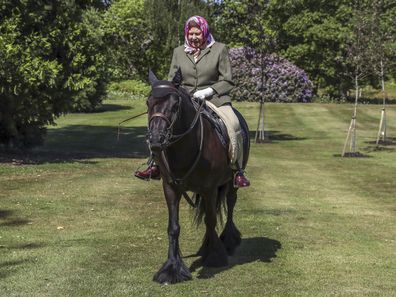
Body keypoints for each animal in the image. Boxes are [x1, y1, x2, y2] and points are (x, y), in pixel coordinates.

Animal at [147, 70, 249, 284]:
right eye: (148, 102)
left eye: (175, 105)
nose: (156, 141)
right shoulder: (170, 188)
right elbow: (173, 227)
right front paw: (172, 268)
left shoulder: (209, 189)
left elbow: (211, 221)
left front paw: (215, 256)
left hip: (231, 183)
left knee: (230, 204)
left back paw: (227, 241)